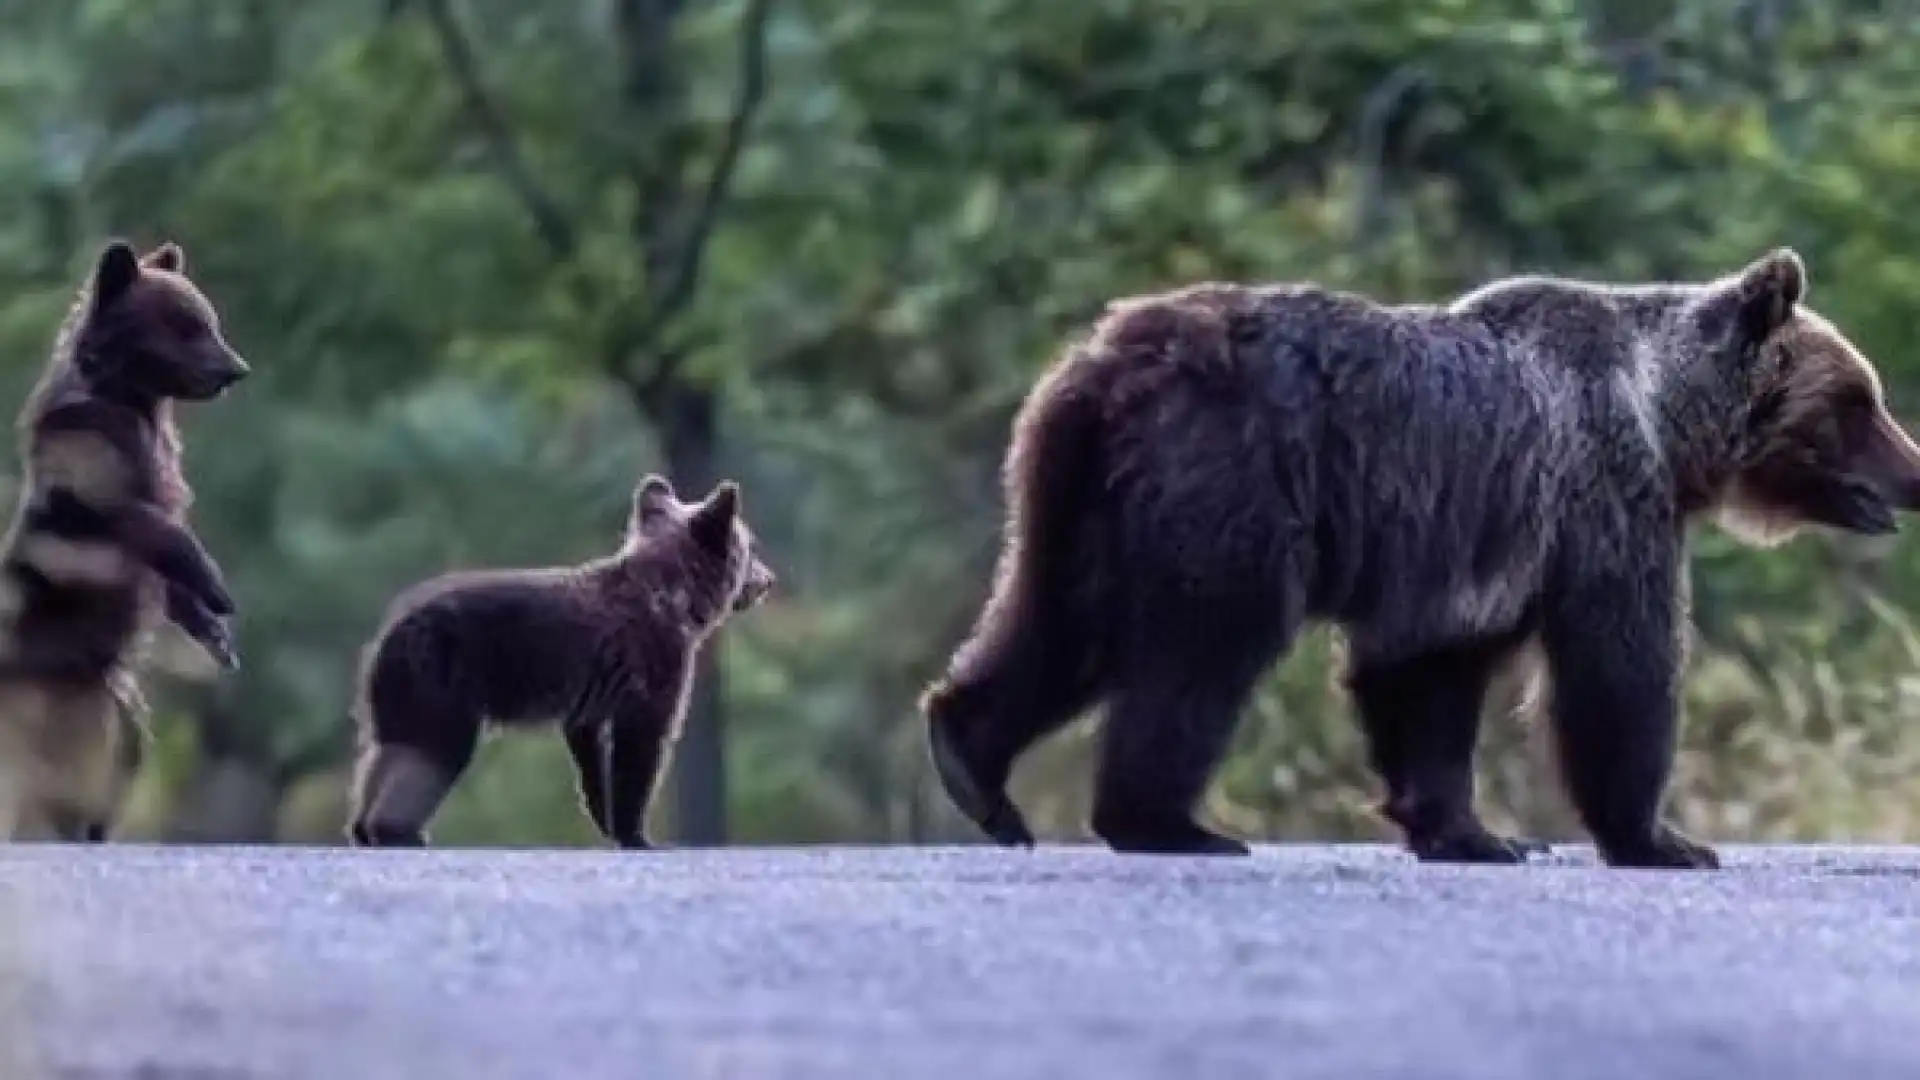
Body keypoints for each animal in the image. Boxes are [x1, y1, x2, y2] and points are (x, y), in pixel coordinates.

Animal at [925, 249, 1920, 864]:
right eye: (1861, 400)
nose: (1914, 470)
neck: (1669, 425)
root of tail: (1104, 363)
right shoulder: (1601, 500)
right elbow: (1617, 669)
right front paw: (1662, 839)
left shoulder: (1475, 552)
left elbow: (1429, 678)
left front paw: (1475, 833)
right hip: (1227, 480)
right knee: (1201, 653)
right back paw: (1169, 822)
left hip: (1078, 497)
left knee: (1060, 623)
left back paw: (973, 765)